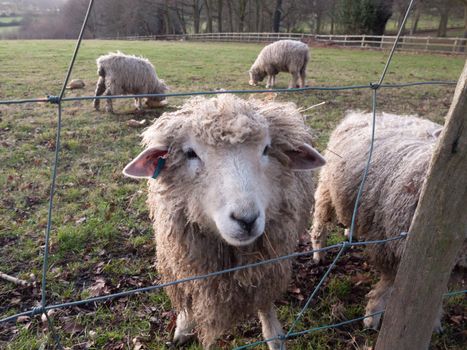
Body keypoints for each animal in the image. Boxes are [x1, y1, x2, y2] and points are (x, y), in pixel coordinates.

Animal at [122, 94, 326, 348]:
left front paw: (274, 336)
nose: (246, 219)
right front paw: (183, 327)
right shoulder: (186, 262)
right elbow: (189, 297)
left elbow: (265, 304)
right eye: (190, 153)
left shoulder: (266, 266)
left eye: (267, 149)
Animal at [310, 111, 458, 330]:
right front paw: (372, 317)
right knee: (320, 220)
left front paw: (433, 320)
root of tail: (359, 114)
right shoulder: (393, 250)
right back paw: (318, 252)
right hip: (328, 186)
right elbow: (386, 288)